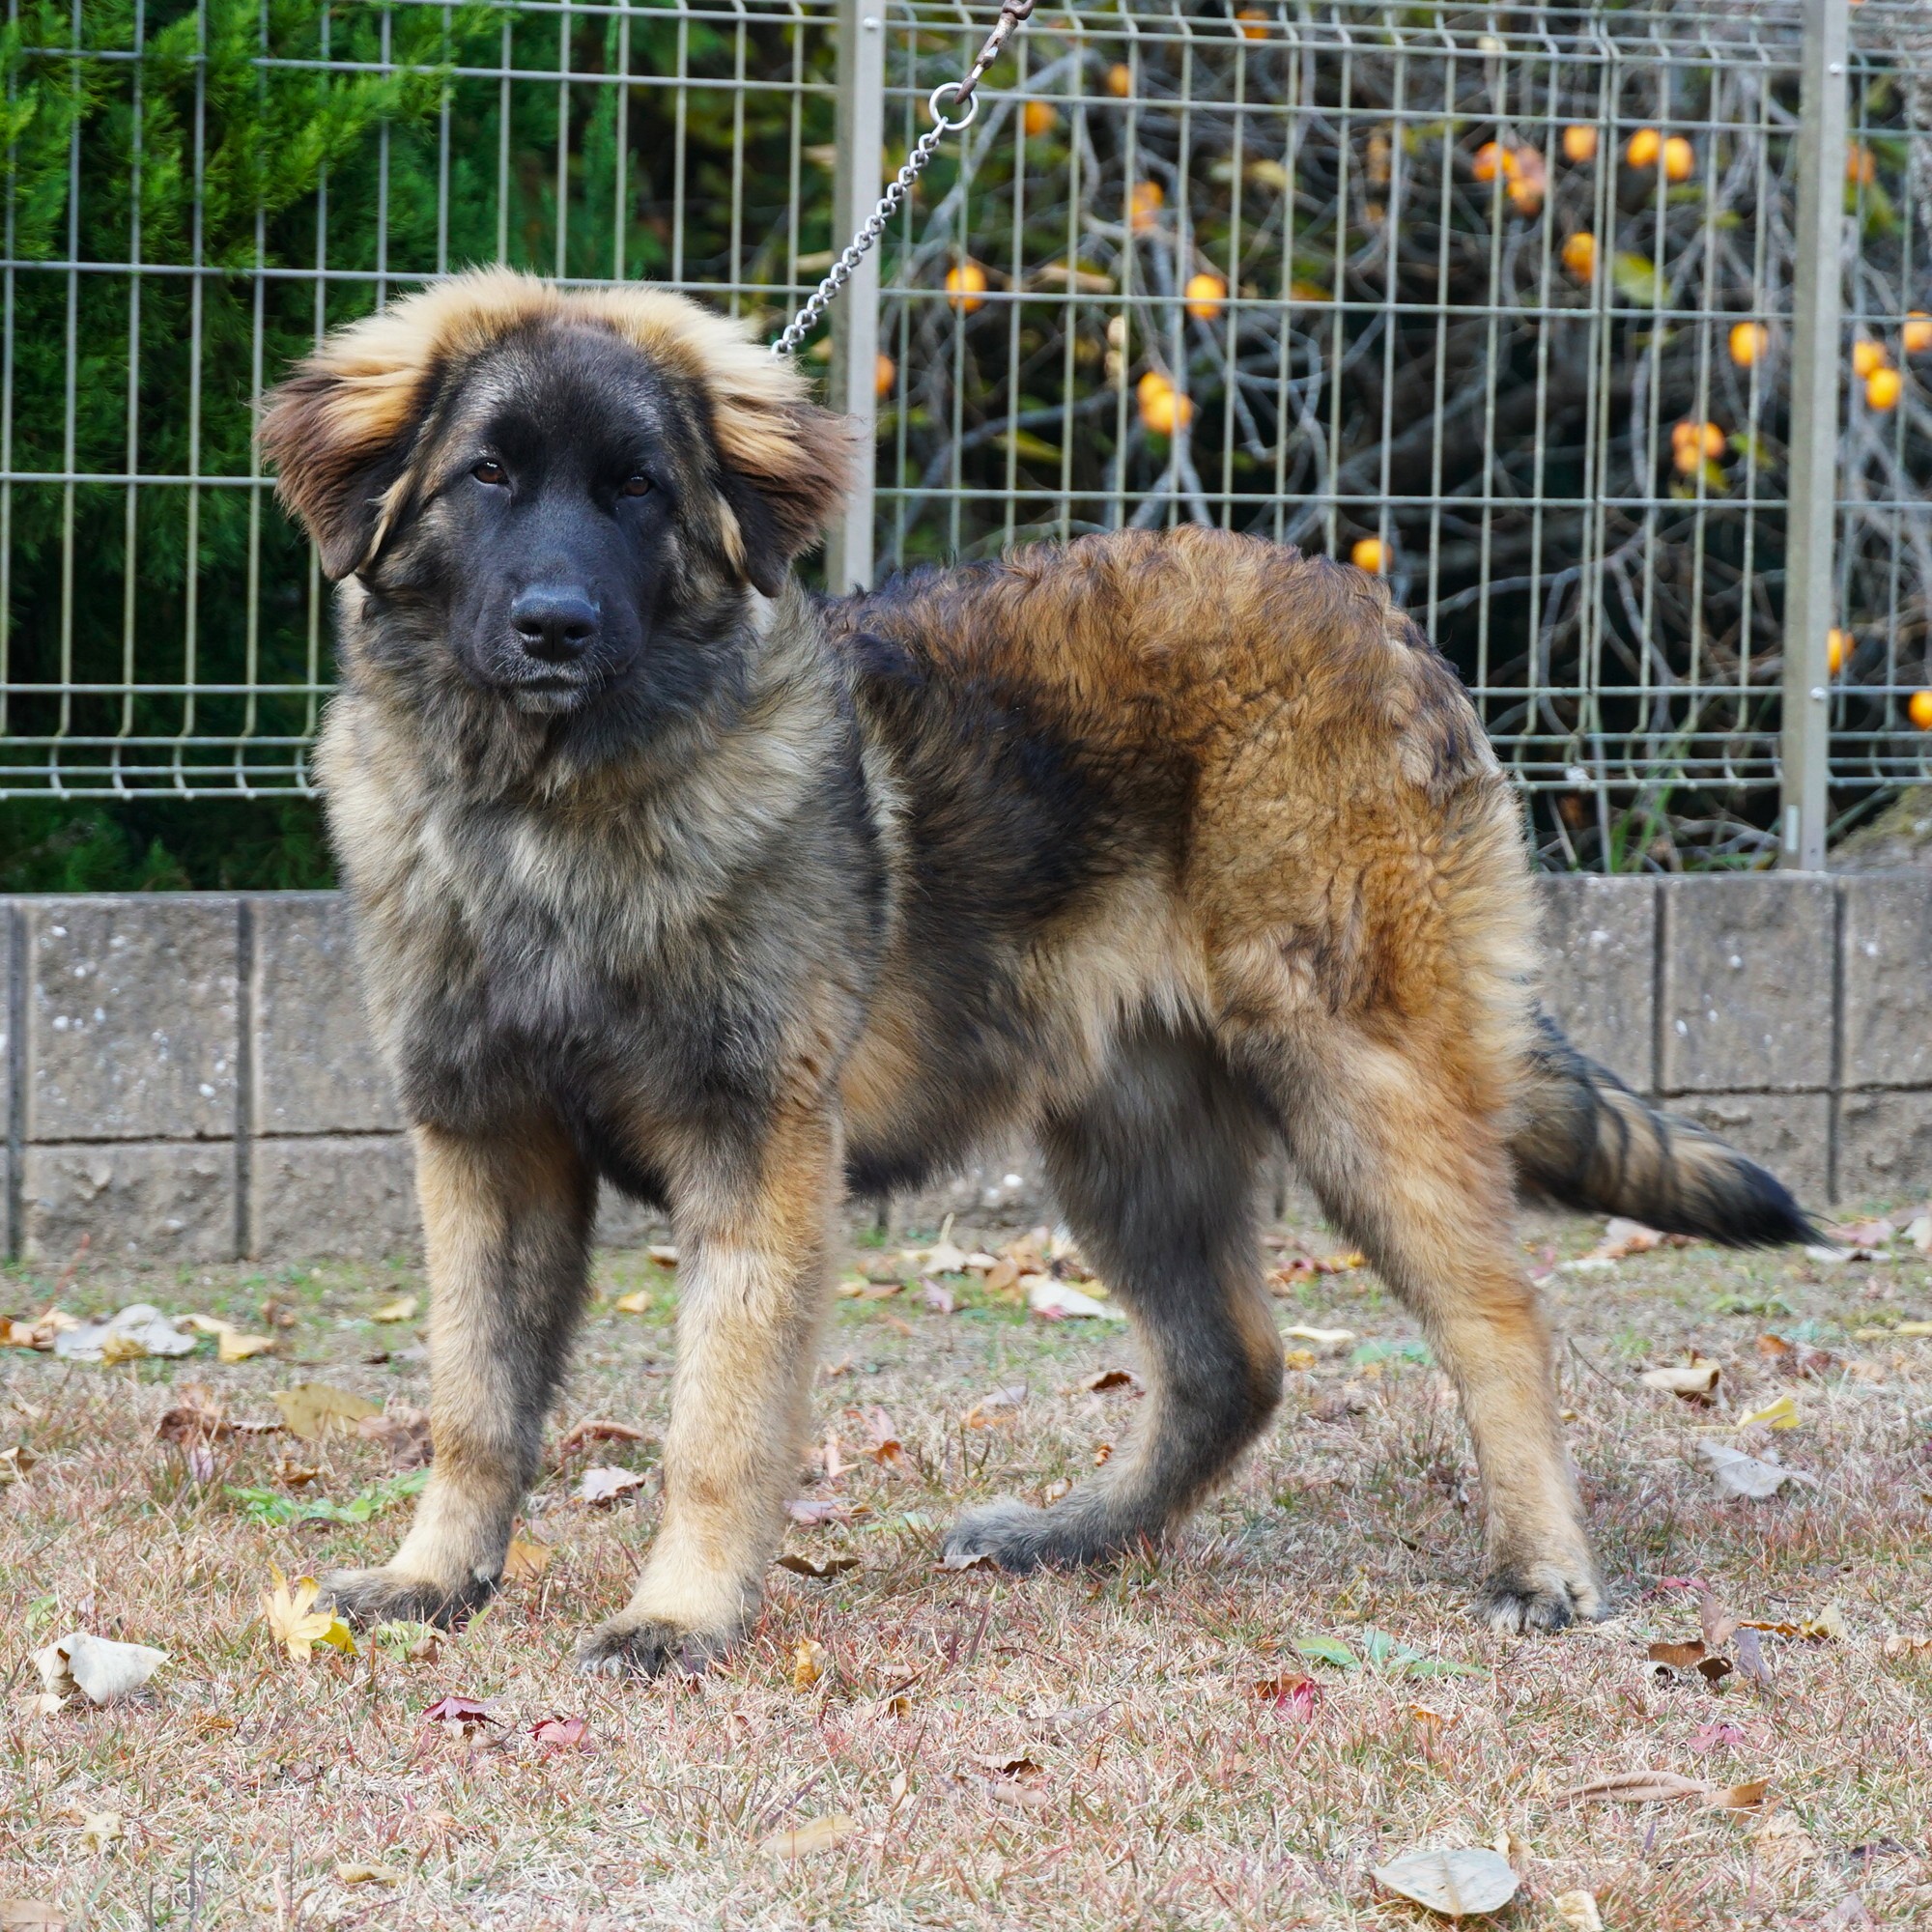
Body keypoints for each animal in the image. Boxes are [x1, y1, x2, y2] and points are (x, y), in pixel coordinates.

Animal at [257, 268, 1811, 1677]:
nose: (556, 625)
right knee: (1231, 1362)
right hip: (1133, 1140)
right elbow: (473, 1405)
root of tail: (1374, 613)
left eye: (637, 489)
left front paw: (679, 1613)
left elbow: (715, 1424)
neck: (548, 820)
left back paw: (1539, 1565)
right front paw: (434, 1580)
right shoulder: (488, 1145)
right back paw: (1081, 1534)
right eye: (488, 475)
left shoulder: (753, 1153)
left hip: (1356, 1080)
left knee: (1497, 1322)